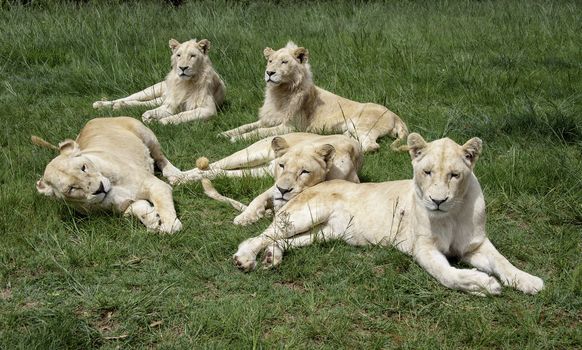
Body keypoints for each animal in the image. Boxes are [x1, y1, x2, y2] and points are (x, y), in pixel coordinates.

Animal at [33, 116, 182, 234]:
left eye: (83, 167)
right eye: (72, 188)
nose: (100, 188)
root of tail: (93, 120)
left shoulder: (155, 185)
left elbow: (164, 206)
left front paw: (169, 225)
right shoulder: (122, 208)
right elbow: (136, 208)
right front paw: (153, 220)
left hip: (147, 135)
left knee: (160, 157)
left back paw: (177, 176)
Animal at [93, 38, 226, 125]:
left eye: (192, 56)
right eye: (178, 55)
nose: (182, 68)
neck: (185, 83)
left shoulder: (208, 109)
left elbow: (182, 115)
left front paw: (160, 121)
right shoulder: (171, 104)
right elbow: (150, 112)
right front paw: (149, 117)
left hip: (160, 99)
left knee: (144, 103)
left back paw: (119, 106)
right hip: (151, 90)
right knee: (130, 97)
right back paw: (101, 104)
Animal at [201, 133, 364, 226]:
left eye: (304, 171)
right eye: (282, 166)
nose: (283, 190)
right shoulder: (274, 185)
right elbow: (258, 198)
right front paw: (245, 217)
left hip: (258, 171)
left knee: (222, 172)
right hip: (248, 155)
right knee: (210, 166)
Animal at [221, 41, 408, 152]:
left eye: (284, 62)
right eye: (270, 61)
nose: (269, 73)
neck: (280, 93)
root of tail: (397, 117)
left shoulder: (290, 127)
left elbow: (259, 132)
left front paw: (237, 139)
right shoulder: (268, 119)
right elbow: (246, 126)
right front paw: (224, 134)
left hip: (361, 124)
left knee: (371, 146)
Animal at [234, 133, 548, 296]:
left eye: (454, 175)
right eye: (427, 172)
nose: (437, 200)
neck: (453, 213)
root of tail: (307, 187)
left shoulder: (475, 245)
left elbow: (503, 261)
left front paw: (529, 281)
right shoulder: (423, 248)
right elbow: (447, 274)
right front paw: (484, 285)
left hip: (323, 232)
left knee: (282, 240)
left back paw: (272, 257)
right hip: (305, 214)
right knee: (260, 236)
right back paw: (245, 258)